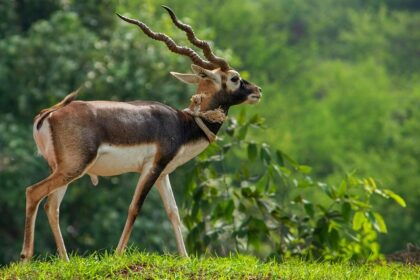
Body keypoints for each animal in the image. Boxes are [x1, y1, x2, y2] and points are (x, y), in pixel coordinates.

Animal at [21, 5, 262, 262]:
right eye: (235, 78)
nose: (257, 91)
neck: (184, 123)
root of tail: (49, 114)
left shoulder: (164, 173)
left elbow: (173, 212)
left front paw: (185, 258)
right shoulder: (151, 167)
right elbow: (134, 208)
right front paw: (117, 256)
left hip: (63, 169)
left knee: (51, 206)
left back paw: (65, 261)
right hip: (73, 167)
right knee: (33, 193)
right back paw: (26, 257)